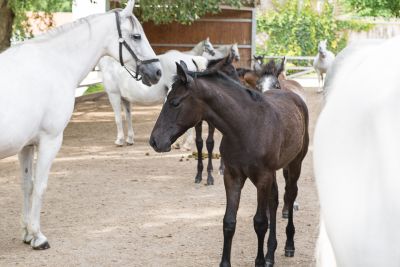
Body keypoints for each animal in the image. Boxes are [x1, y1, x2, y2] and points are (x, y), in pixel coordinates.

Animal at [0, 0, 161, 251]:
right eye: (136, 36)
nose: (157, 72)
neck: (54, 64)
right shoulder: (50, 141)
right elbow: (40, 186)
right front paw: (38, 237)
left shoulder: (26, 146)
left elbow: (27, 186)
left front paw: (27, 233)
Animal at [150, 61, 310, 267]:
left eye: (175, 102)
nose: (154, 141)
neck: (246, 127)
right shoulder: (233, 176)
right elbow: (229, 222)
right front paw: (227, 262)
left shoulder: (262, 178)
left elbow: (260, 222)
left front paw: (259, 261)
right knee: (274, 201)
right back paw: (270, 254)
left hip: (294, 163)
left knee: (290, 195)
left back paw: (289, 245)